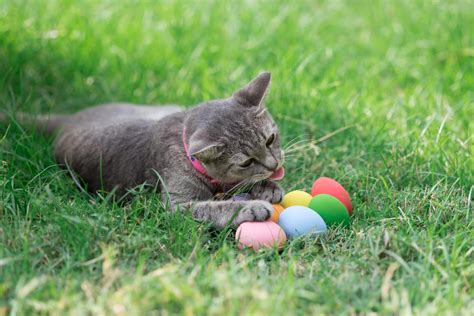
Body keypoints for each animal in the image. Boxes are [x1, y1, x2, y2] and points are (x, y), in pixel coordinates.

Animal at [0, 73, 286, 228]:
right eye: (246, 161)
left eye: (270, 139)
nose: (274, 165)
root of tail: (70, 118)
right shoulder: (175, 207)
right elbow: (211, 207)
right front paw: (250, 206)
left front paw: (267, 187)